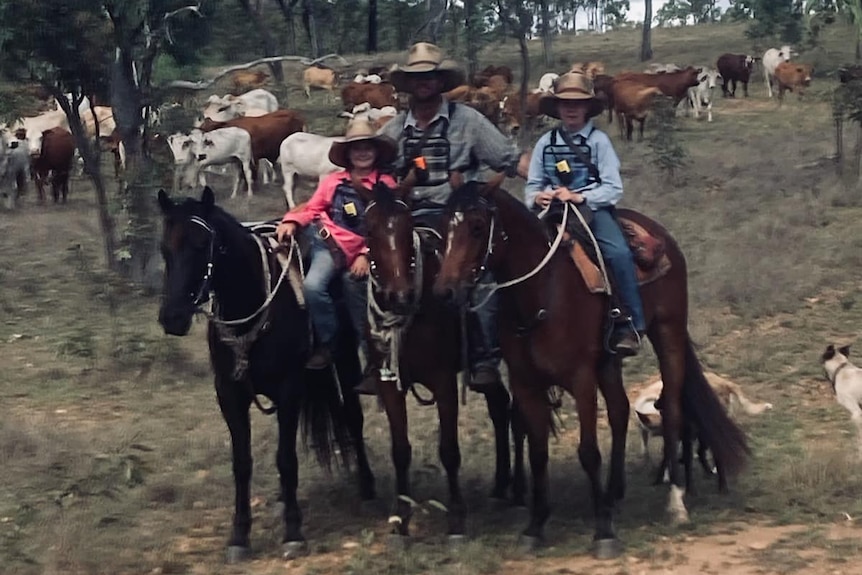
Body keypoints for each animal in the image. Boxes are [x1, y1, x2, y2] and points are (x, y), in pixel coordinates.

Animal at [352, 178, 528, 544]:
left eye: (407, 228)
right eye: (369, 229)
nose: (400, 295)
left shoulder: (444, 381)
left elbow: (448, 449)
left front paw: (456, 520)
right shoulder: (390, 385)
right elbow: (400, 450)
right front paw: (400, 519)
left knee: (517, 414)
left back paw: (518, 492)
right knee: (499, 407)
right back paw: (500, 486)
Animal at [432, 179, 748, 552]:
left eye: (478, 227)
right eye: (444, 225)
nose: (444, 291)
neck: (541, 295)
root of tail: (659, 234)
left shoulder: (581, 378)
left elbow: (588, 451)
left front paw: (604, 532)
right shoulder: (526, 383)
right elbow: (538, 452)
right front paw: (536, 526)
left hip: (667, 332)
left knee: (670, 409)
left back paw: (675, 502)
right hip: (609, 362)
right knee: (620, 410)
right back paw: (613, 493)